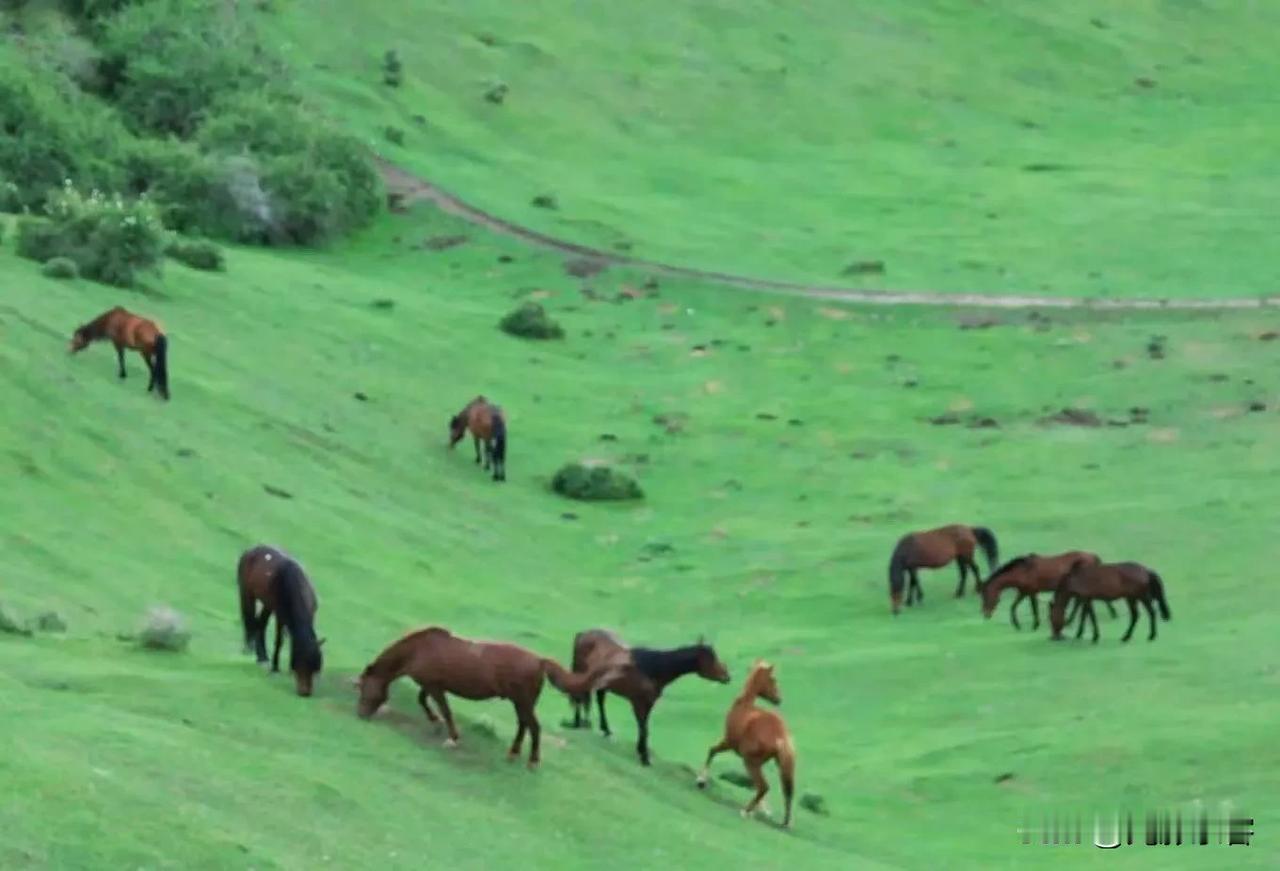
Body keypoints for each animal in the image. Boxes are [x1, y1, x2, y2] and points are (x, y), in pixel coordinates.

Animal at [235, 548, 325, 696]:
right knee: (249, 620)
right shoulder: (281, 617)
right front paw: (275, 668)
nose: (305, 693)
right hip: (247, 594)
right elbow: (279, 641)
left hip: (267, 604)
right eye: (299, 663)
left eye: (315, 666)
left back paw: (262, 657)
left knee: (261, 625)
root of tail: (250, 551)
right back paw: (253, 650)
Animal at [355, 625, 624, 768]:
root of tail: (539, 660)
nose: (360, 715)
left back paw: (532, 760)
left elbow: (444, 710)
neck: (420, 650)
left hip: (523, 701)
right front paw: (435, 723)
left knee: (533, 727)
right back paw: (513, 753)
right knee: (523, 725)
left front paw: (452, 737)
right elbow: (424, 702)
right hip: (520, 702)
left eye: (364, 687)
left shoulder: (435, 687)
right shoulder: (431, 685)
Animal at [570, 630, 732, 763]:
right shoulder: (638, 703)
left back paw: (605, 730)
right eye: (711, 658)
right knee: (579, 697)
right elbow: (644, 727)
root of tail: (582, 634)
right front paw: (644, 757)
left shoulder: (648, 703)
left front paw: (641, 749)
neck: (652, 668)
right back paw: (578, 722)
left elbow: (644, 726)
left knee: (598, 700)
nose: (727, 677)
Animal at [696, 660, 793, 824]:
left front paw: (701, 781)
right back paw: (784, 821)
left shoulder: (728, 742)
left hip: (750, 762)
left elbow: (711, 751)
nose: (778, 699)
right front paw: (765, 810)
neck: (744, 706)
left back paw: (746, 811)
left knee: (763, 786)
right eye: (773, 679)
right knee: (781, 791)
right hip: (768, 765)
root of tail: (780, 735)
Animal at [972, 553, 1116, 630]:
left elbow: (1034, 608)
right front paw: (1017, 624)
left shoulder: (1031, 592)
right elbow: (1013, 607)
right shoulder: (1023, 592)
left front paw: (1035, 625)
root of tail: (1093, 556)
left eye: (985, 596)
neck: (1022, 571)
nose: (985, 614)